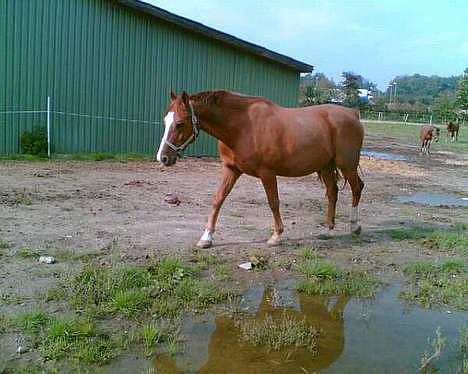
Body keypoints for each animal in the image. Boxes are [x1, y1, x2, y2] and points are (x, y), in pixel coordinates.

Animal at [157, 91, 366, 248]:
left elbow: (273, 203)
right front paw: (206, 238)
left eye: (180, 124)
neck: (242, 127)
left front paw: (276, 236)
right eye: (165, 122)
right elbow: (218, 200)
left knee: (357, 188)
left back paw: (354, 226)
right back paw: (328, 230)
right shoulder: (231, 170)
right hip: (325, 166)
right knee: (332, 193)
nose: (163, 158)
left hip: (347, 165)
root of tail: (352, 113)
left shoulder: (267, 173)